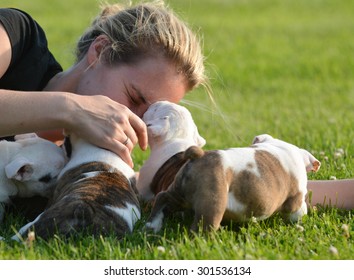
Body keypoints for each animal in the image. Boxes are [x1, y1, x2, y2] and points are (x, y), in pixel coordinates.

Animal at [145, 133, 320, 232]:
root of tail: (199, 156)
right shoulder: (296, 199)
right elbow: (298, 211)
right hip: (212, 202)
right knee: (202, 228)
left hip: (179, 191)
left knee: (162, 197)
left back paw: (152, 225)